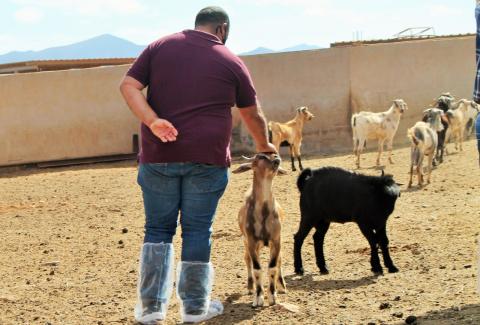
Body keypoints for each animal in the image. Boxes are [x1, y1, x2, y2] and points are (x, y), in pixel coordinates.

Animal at [233, 153, 286, 306]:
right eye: (260, 157)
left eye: (274, 155)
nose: (277, 159)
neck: (263, 213)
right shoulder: (251, 242)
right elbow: (257, 269)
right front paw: (258, 297)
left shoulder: (276, 239)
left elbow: (273, 266)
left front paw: (273, 296)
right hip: (247, 243)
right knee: (247, 259)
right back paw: (250, 287)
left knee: (279, 259)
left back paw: (281, 286)